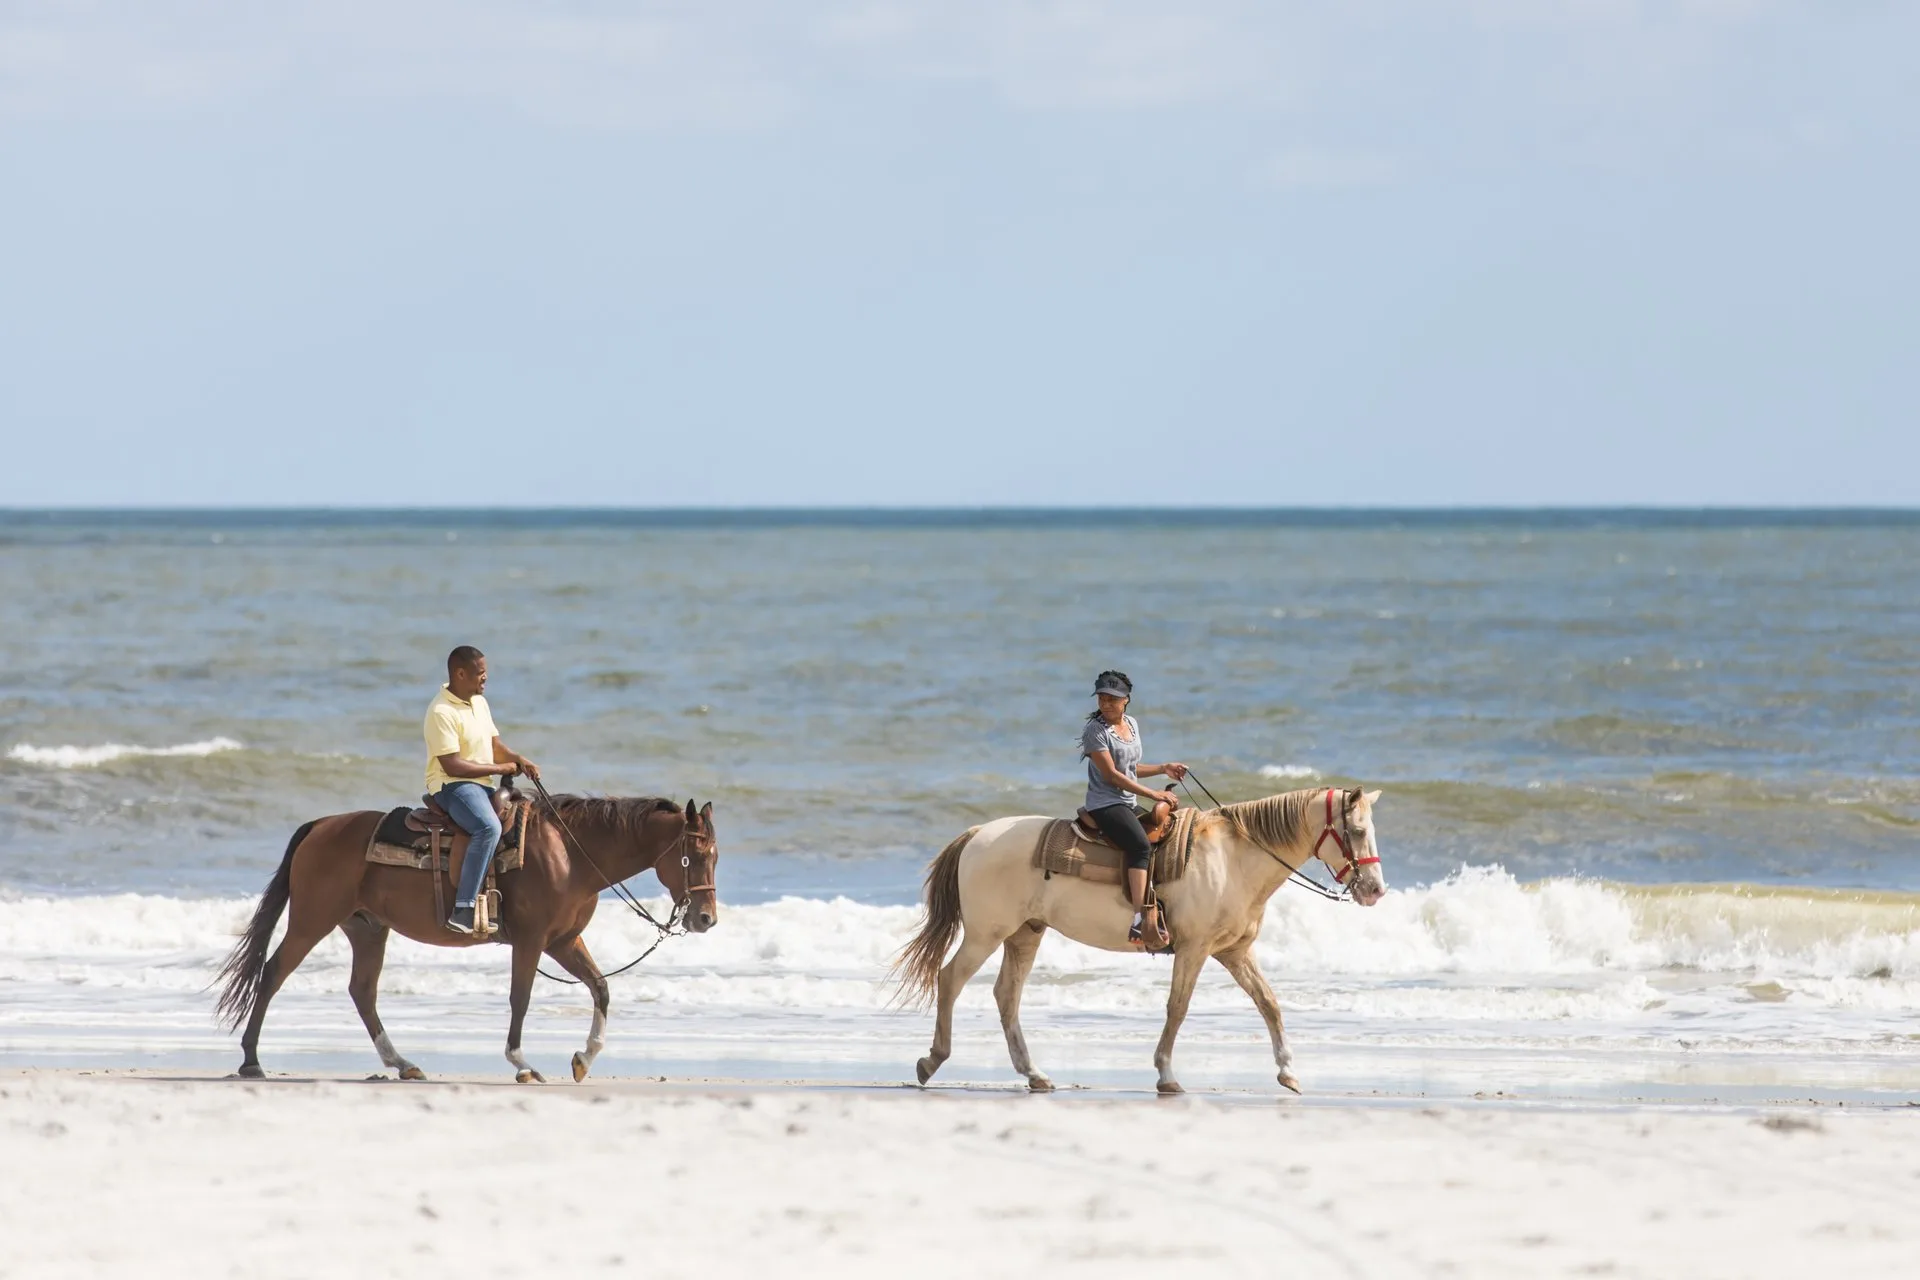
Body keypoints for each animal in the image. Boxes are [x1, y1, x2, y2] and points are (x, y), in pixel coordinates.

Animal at [212, 794, 721, 1090]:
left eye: (715, 856)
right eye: (693, 855)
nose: (706, 919)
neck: (572, 854)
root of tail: (320, 826)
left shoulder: (564, 941)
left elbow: (601, 987)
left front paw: (583, 1058)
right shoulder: (533, 941)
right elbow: (521, 998)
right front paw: (521, 1063)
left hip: (368, 928)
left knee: (363, 991)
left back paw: (402, 1063)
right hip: (312, 919)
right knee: (273, 973)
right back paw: (251, 1060)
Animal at [890, 786, 1390, 1097]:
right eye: (1357, 831)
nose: (1375, 890)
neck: (1233, 860)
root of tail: (978, 835)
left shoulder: (1233, 952)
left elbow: (1269, 1004)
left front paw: (1289, 1073)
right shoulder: (1194, 949)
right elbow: (1178, 1008)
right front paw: (1167, 1075)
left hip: (1024, 935)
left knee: (1006, 996)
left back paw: (1035, 1075)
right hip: (985, 934)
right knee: (950, 979)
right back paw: (932, 1061)